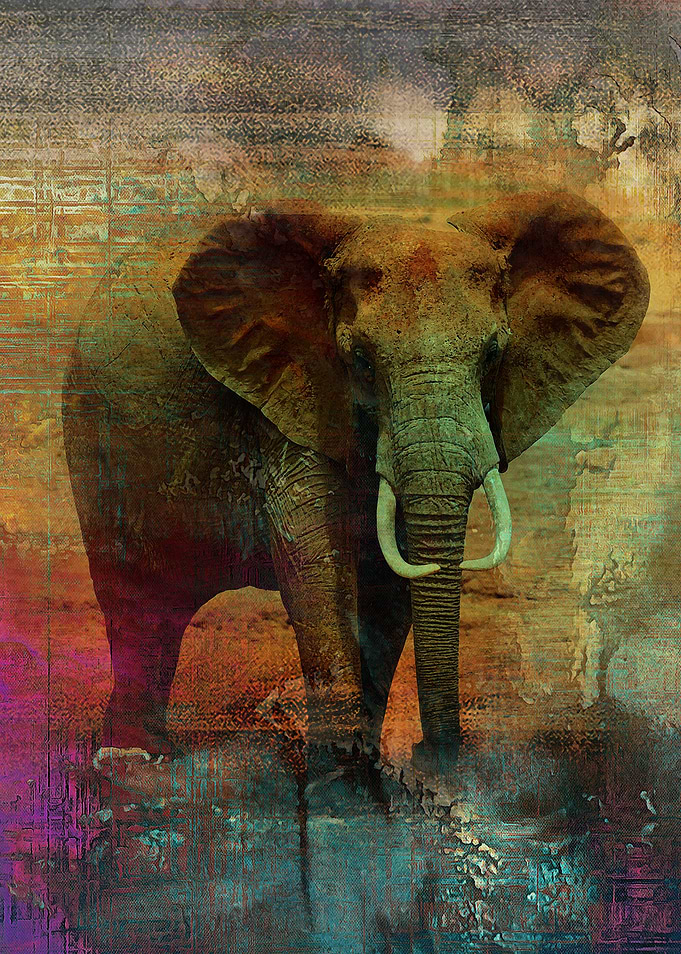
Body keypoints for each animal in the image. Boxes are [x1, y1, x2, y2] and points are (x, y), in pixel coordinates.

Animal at [62, 191, 649, 777]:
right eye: (361, 360)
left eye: (493, 355)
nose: (432, 755)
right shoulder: (295, 389)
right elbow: (315, 561)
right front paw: (339, 783)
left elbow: (388, 583)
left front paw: (373, 777)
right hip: (100, 443)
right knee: (137, 600)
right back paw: (131, 757)